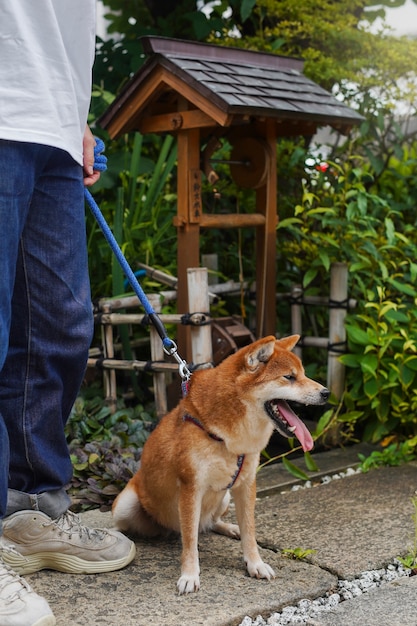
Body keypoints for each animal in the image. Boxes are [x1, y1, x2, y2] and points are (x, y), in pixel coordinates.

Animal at [112, 332, 330, 588]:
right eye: (289, 377)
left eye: (303, 374)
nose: (326, 393)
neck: (230, 439)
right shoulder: (191, 488)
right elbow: (190, 541)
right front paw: (189, 575)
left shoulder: (246, 485)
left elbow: (250, 532)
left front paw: (255, 563)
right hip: (125, 505)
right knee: (142, 525)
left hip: (224, 496)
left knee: (210, 523)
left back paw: (230, 528)